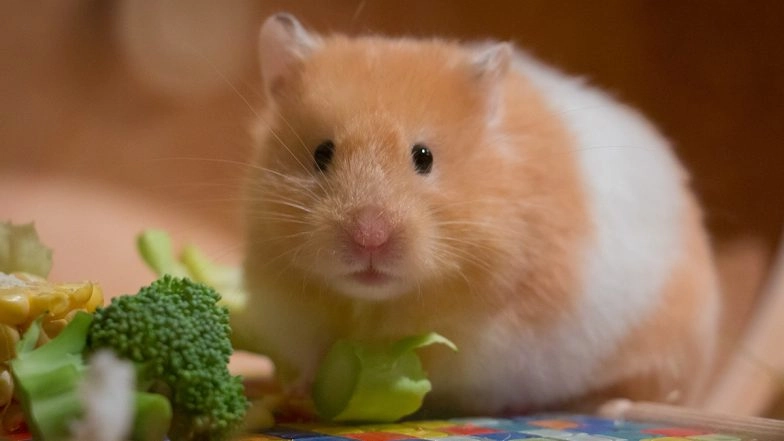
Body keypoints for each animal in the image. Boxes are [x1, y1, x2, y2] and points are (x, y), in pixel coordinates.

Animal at [232, 13, 720, 416]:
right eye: (321, 153)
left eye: (423, 157)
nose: (370, 238)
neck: (374, 303)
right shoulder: (291, 309)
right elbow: (314, 355)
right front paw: (302, 389)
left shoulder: (499, 340)